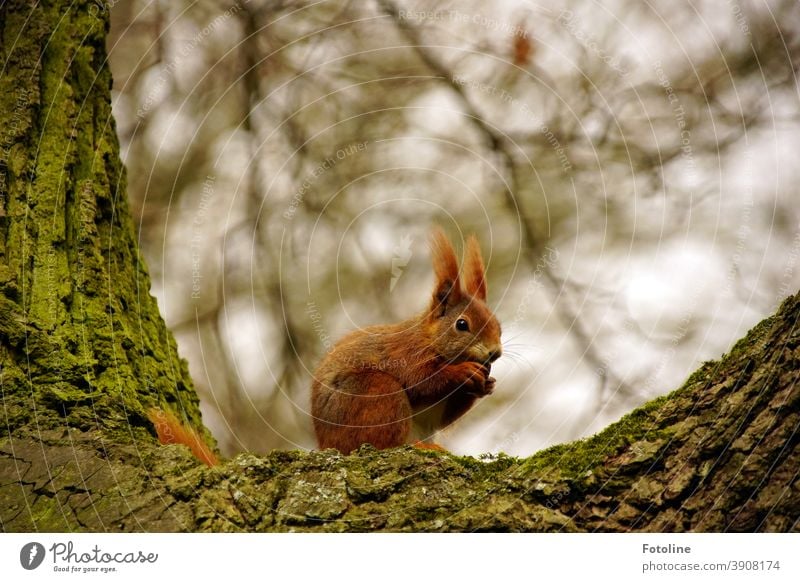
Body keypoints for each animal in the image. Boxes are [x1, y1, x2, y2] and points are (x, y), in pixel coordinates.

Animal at [310, 229, 504, 456]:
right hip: (375, 391)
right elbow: (421, 379)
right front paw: (463, 371)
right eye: (462, 324)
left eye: (498, 325)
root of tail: (327, 444)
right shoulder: (406, 353)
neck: (429, 338)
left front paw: (488, 384)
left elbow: (445, 416)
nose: (495, 352)